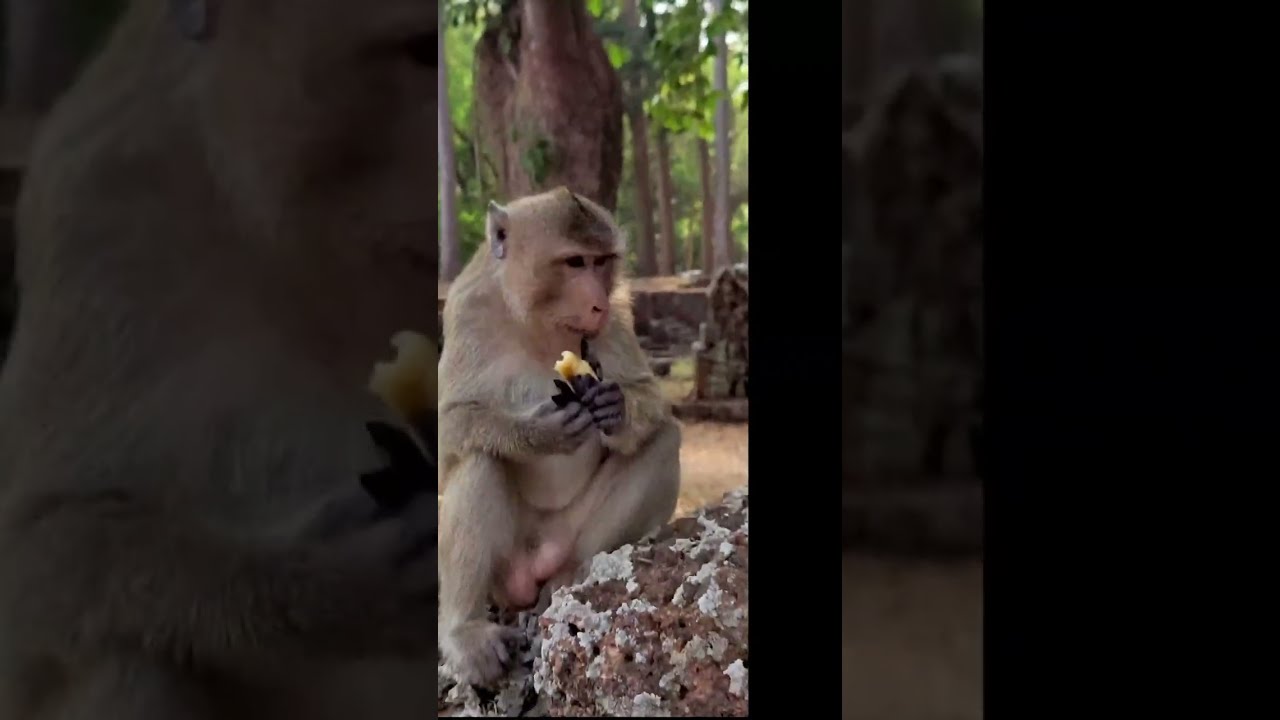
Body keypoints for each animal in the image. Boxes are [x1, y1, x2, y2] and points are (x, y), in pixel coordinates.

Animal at [437, 187, 682, 686]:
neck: (535, 322)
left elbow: (650, 396)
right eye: (574, 262)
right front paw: (534, 433)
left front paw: (616, 410)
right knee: (478, 456)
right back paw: (465, 630)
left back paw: (574, 575)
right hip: (505, 567)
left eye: (602, 262)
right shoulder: (465, 309)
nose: (597, 304)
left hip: (565, 534)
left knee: (664, 440)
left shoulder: (617, 311)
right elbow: (450, 425)